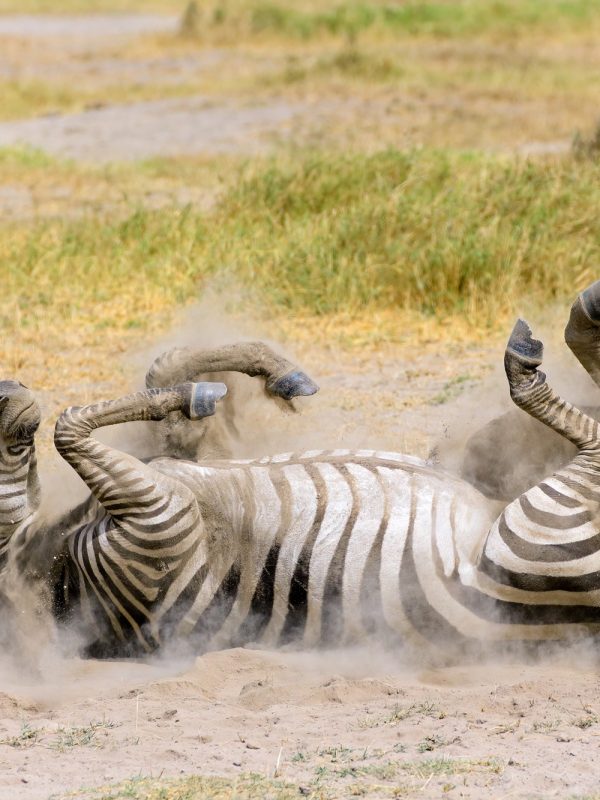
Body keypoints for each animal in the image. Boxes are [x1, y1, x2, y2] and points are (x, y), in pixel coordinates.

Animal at [5, 283, 600, 658]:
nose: (12, 391)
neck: (57, 570)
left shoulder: (180, 470)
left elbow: (158, 372)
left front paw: (273, 372)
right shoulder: (160, 511)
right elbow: (69, 425)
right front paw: (203, 392)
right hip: (543, 525)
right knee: (568, 419)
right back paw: (556, 333)